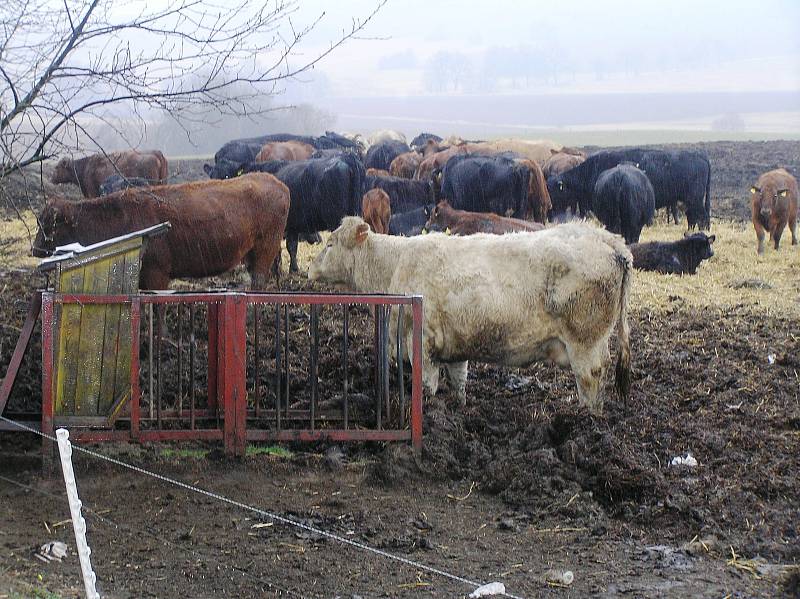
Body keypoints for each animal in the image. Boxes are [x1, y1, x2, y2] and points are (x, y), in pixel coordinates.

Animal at [35, 172, 290, 290]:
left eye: (49, 225)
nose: (35, 249)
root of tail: (276, 181)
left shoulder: (157, 273)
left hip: (265, 249)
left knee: (259, 280)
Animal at [310, 218, 636, 414]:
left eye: (330, 244)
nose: (310, 267)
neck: (394, 265)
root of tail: (605, 237)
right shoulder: (455, 348)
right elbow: (459, 383)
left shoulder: (422, 343)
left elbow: (426, 385)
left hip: (585, 343)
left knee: (591, 377)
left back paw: (586, 419)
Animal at [548, 149, 708, 230]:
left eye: (553, 191)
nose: (549, 212)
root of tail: (700, 156)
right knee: (696, 215)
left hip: (695, 199)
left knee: (700, 216)